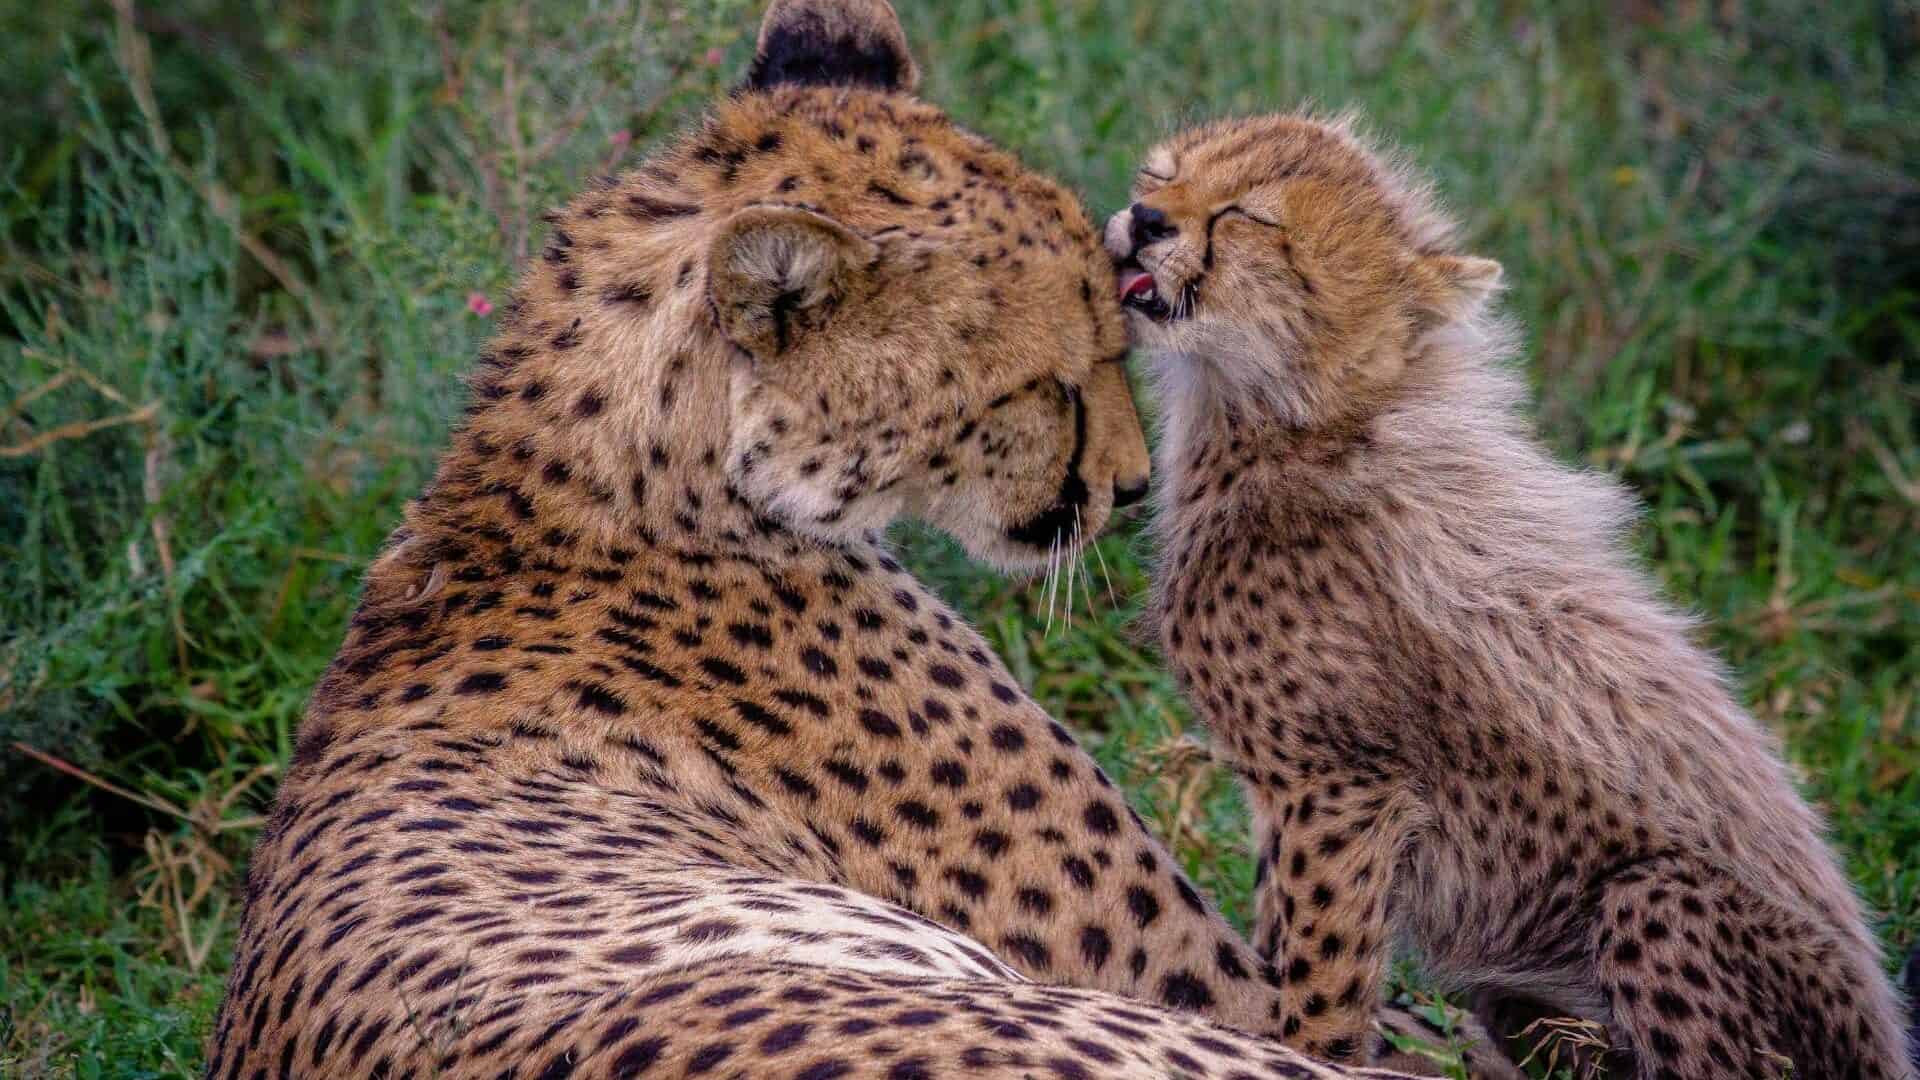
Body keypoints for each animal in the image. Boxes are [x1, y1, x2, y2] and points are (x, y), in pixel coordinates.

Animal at [1106, 109, 1915, 1079]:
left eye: (1247, 218)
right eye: (1161, 173)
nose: (1145, 218)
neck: (1297, 424)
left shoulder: (1339, 785)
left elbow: (1321, 973)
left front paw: (1302, 1053)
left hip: (1654, 899)